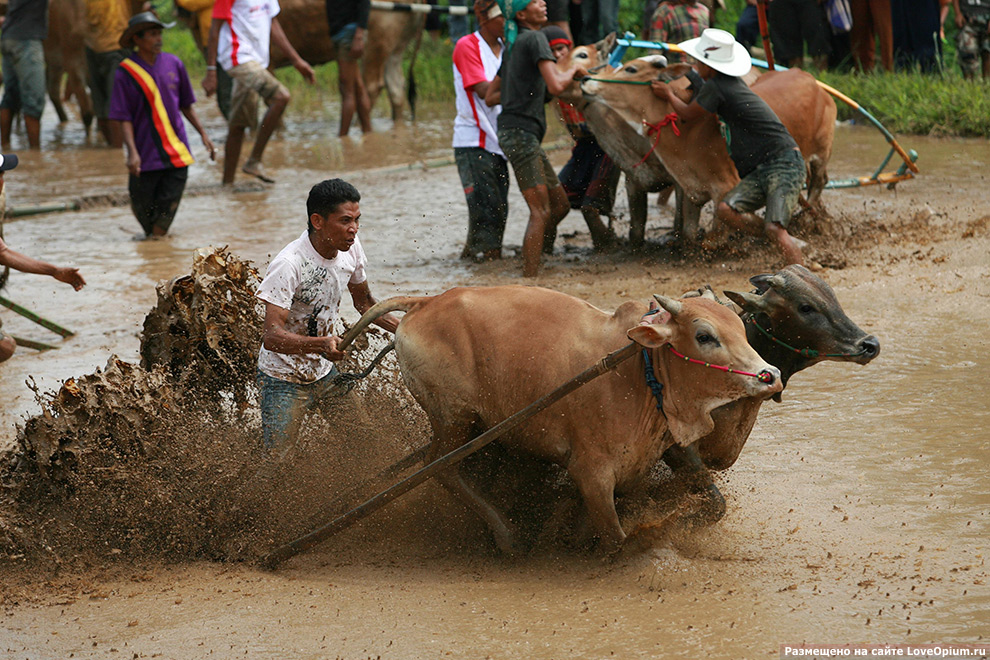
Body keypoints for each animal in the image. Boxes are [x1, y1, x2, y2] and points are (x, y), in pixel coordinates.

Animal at [348, 286, 784, 556]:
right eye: (705, 336)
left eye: (741, 328)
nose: (772, 375)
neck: (639, 372)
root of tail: (427, 302)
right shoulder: (591, 473)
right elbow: (616, 539)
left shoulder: (644, 460)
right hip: (454, 419)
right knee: (441, 468)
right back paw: (508, 537)